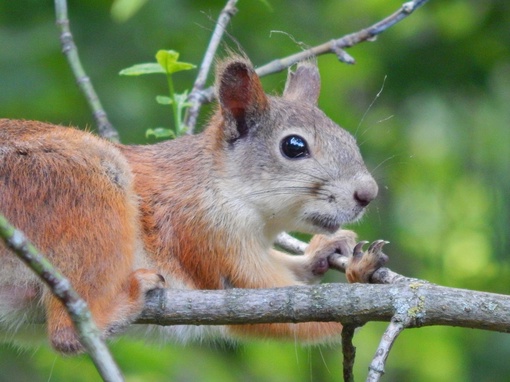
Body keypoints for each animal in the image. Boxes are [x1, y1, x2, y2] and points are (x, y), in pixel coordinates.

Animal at [0, 57, 384, 356]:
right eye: (294, 146)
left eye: (349, 140)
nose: (368, 193)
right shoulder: (206, 235)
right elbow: (281, 306)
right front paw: (358, 276)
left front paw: (324, 250)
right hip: (83, 192)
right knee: (67, 333)